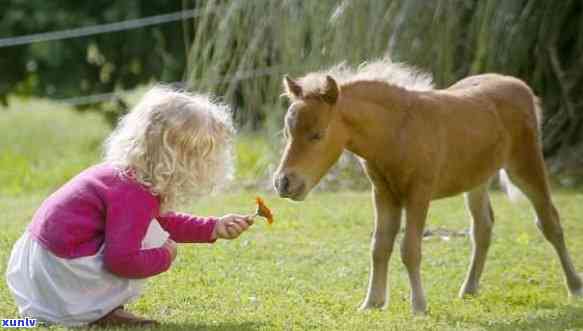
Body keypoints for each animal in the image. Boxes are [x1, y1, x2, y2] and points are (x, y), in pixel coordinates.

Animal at [274, 58, 583, 316]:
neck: (397, 131)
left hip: (525, 165)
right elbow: (379, 246)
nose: (283, 182)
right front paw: (372, 303)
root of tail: (521, 86)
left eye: (318, 135)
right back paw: (469, 289)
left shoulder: (418, 195)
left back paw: (574, 286)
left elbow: (409, 250)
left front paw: (419, 306)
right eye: (288, 132)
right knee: (482, 228)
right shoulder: (384, 194)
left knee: (550, 222)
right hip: (478, 179)